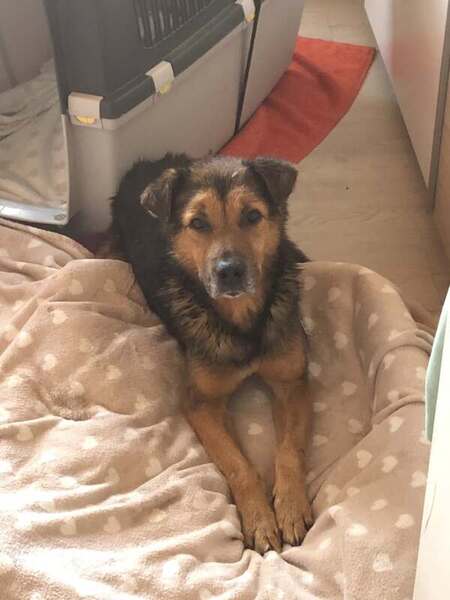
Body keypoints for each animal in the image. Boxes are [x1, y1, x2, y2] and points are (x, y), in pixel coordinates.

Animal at [110, 154, 312, 553]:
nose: (229, 272)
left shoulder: (291, 381)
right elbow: (239, 466)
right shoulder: (201, 404)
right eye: (198, 223)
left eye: (251, 216)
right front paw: (259, 519)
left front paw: (291, 506)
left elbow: (289, 450)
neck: (243, 322)